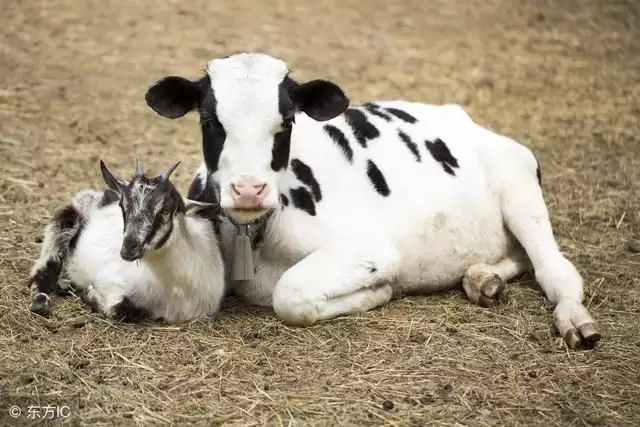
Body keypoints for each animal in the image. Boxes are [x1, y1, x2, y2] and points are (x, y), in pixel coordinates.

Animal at [28, 160, 226, 324]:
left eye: (165, 211)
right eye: (123, 207)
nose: (129, 247)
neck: (175, 290)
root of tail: (104, 193)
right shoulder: (110, 281)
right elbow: (120, 309)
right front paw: (89, 294)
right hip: (68, 217)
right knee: (46, 266)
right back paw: (41, 300)